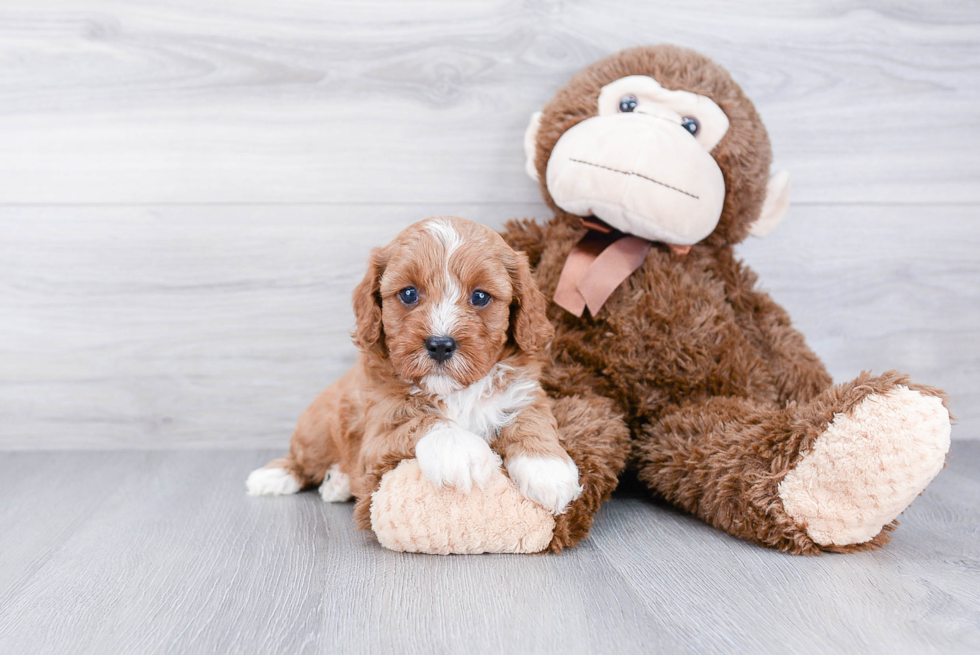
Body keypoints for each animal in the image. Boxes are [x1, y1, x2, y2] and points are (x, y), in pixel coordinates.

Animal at [247, 218, 580, 516]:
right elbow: (418, 419)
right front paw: (460, 450)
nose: (440, 344)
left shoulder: (524, 392)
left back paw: (338, 482)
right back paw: (275, 476)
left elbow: (531, 420)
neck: (456, 392)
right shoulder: (379, 430)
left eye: (480, 296)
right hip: (316, 431)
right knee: (303, 459)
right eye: (408, 293)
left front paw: (548, 469)